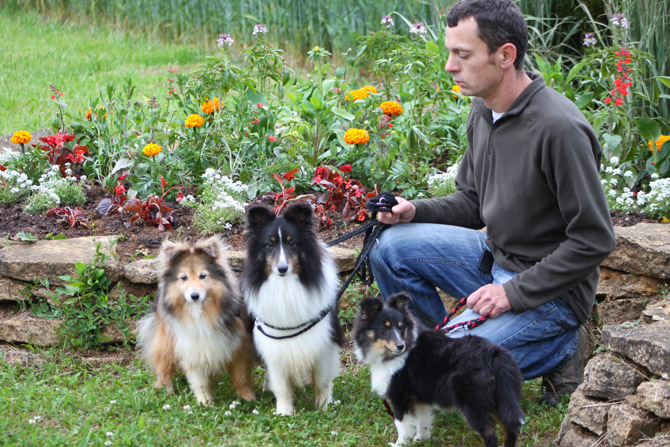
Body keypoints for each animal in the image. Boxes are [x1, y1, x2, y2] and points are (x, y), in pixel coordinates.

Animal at [243, 204, 346, 416]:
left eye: (292, 243)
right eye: (269, 244)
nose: (282, 269)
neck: (286, 285)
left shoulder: (323, 340)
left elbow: (321, 380)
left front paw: (323, 407)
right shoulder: (274, 346)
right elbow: (282, 384)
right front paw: (284, 412)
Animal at [354, 294, 528, 447]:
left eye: (401, 327)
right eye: (385, 328)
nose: (400, 346)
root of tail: (494, 354)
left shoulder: (399, 397)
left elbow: (402, 426)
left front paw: (399, 444)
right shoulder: (420, 399)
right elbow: (422, 422)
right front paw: (421, 440)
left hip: (473, 402)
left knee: (490, 433)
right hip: (501, 397)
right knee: (510, 428)